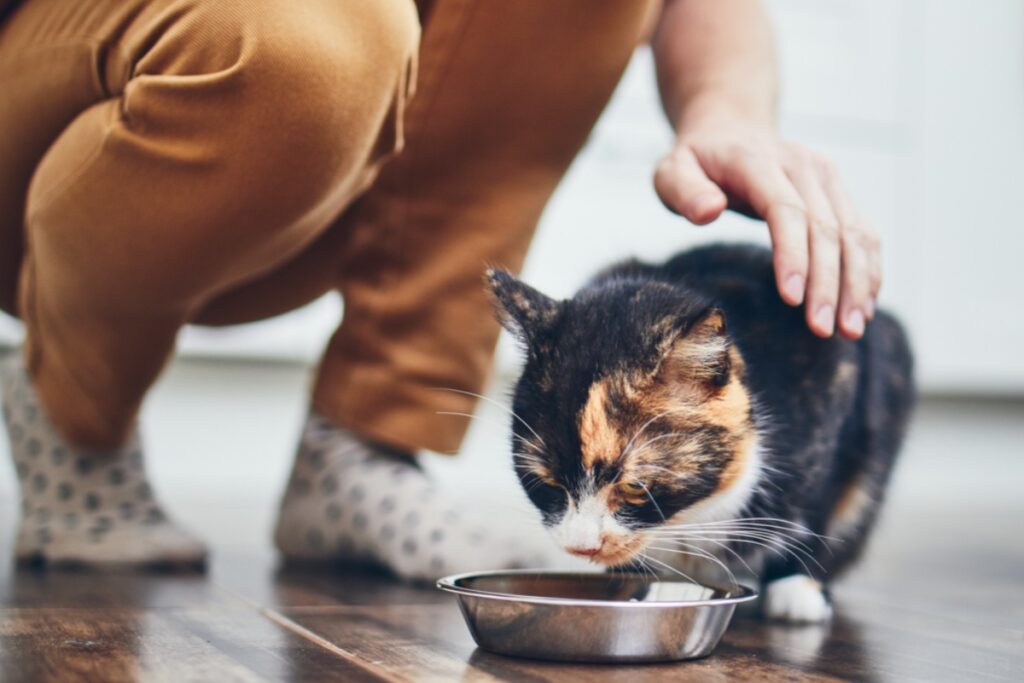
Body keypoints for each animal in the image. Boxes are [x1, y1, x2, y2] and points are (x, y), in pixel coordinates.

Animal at [485, 242, 913, 622]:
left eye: (635, 486)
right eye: (547, 482)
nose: (582, 547)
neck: (689, 518)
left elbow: (819, 502)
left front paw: (797, 586)